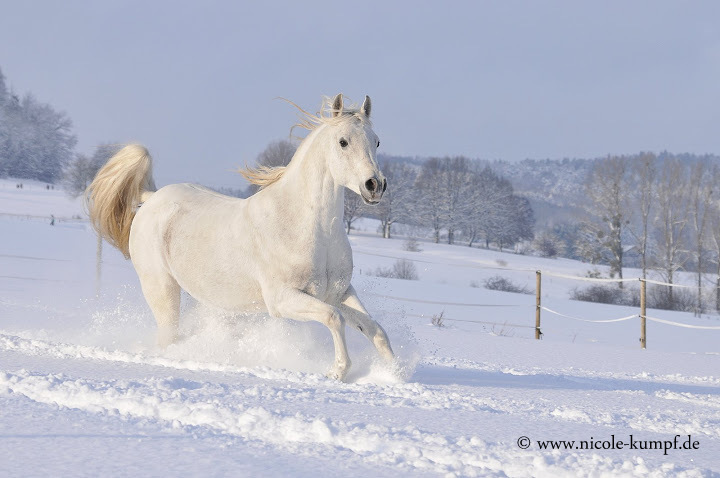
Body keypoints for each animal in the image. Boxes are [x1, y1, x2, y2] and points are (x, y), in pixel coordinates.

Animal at [88, 94, 396, 380]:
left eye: (377, 142)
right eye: (343, 142)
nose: (374, 186)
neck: (310, 227)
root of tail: (151, 198)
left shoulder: (339, 292)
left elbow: (374, 328)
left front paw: (395, 373)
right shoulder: (282, 299)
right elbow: (334, 318)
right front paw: (338, 372)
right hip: (161, 289)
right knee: (168, 337)